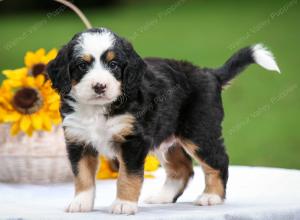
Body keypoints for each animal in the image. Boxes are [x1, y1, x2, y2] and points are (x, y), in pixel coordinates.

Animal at [46, 26, 278, 214]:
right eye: (82, 66)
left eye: (113, 64)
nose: (99, 86)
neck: (98, 109)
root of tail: (210, 74)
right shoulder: (78, 140)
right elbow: (82, 175)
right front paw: (81, 203)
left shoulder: (133, 141)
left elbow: (127, 176)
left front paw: (123, 204)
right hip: (167, 139)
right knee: (183, 168)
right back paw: (163, 197)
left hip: (199, 132)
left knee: (218, 161)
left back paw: (211, 196)